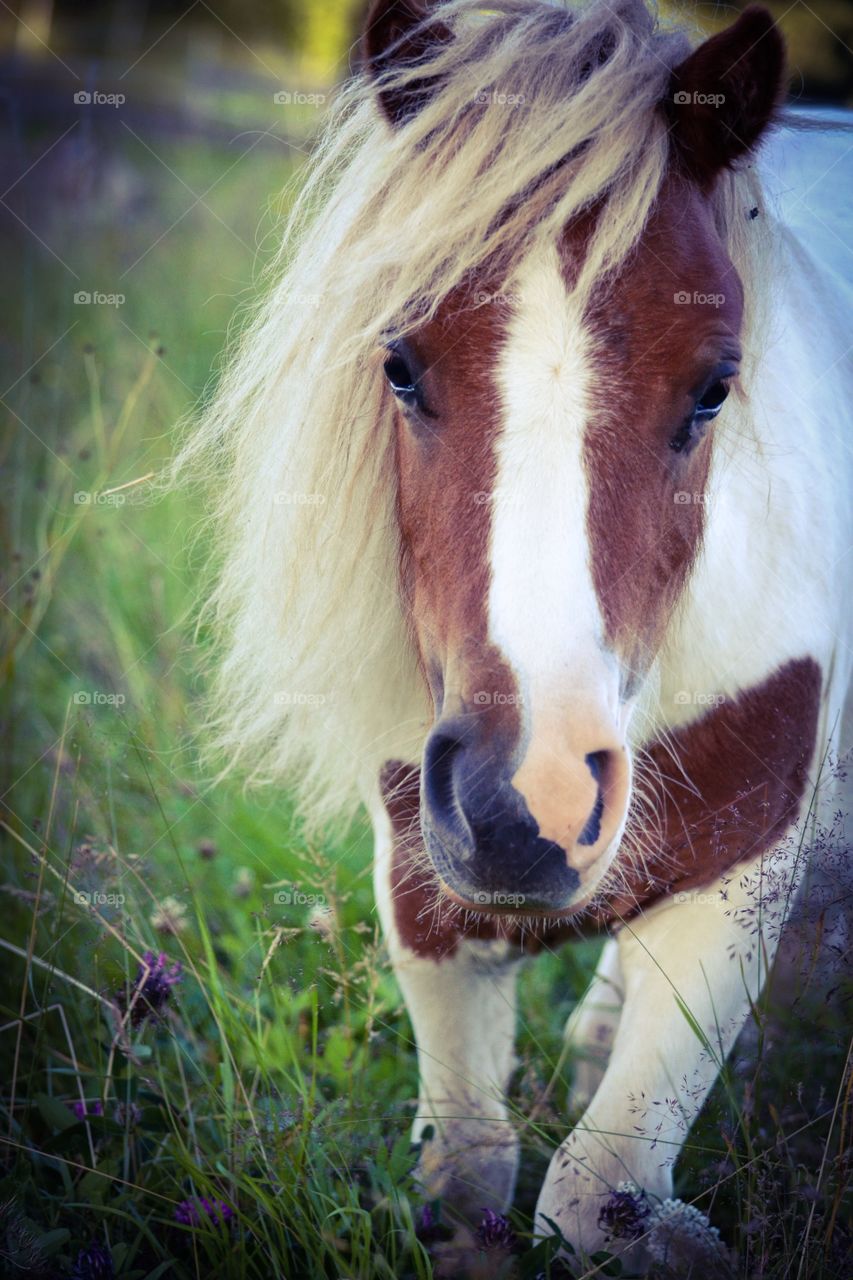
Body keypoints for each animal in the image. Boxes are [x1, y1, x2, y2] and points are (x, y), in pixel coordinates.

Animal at [180, 0, 850, 1264]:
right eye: (397, 364)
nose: (522, 806)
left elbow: (598, 1189)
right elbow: (466, 1174)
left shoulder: (738, 884)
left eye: (713, 389)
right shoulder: (425, 880)